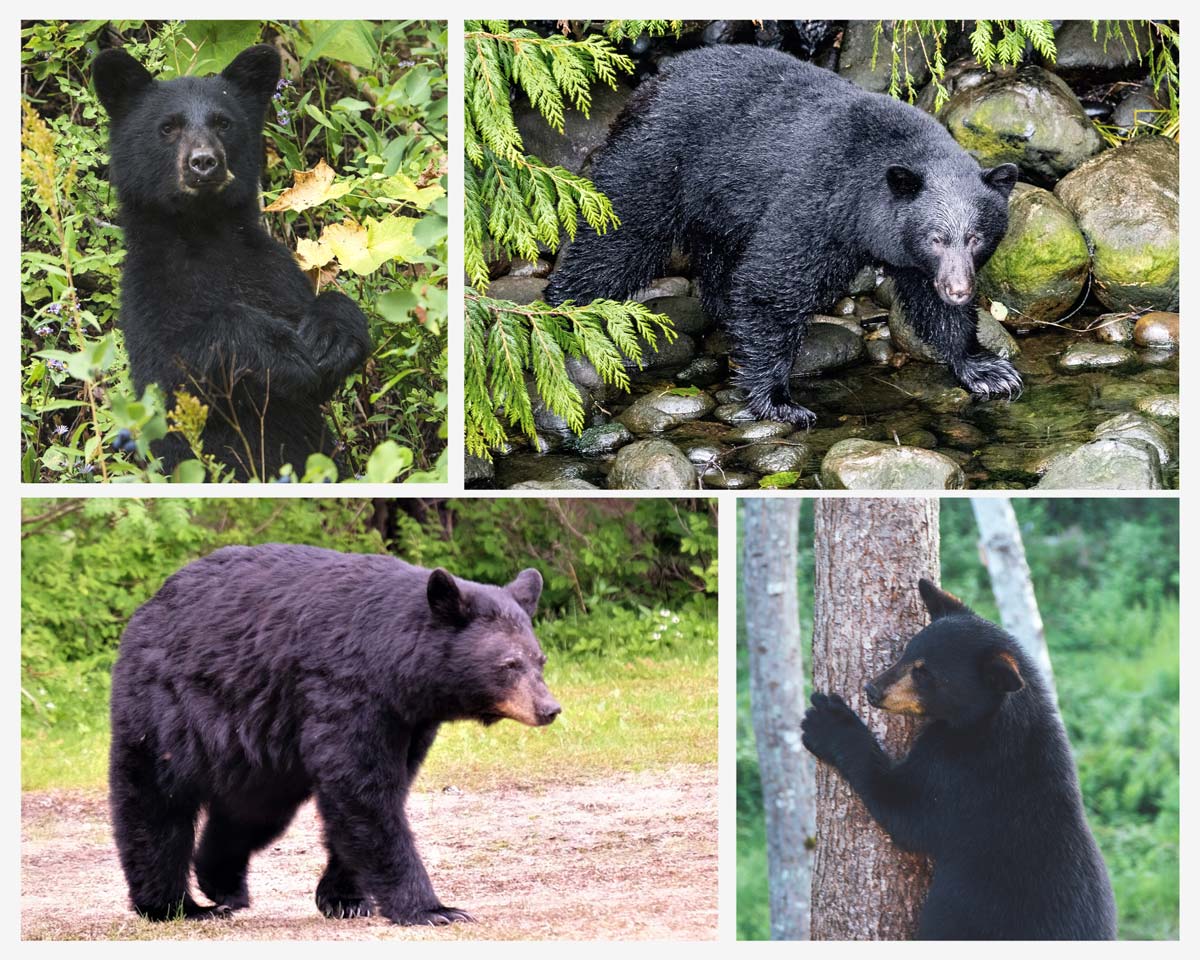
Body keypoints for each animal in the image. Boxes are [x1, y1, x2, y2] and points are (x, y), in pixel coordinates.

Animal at [94, 45, 369, 480]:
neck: (205, 235)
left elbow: (320, 349)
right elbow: (174, 368)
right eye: (167, 127)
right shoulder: (148, 293)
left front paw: (330, 337)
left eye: (223, 122)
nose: (204, 162)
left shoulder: (273, 270)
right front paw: (278, 350)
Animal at [108, 544, 556, 926]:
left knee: (251, 812)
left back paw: (223, 884)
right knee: (155, 802)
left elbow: (376, 793)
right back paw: (172, 904)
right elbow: (362, 790)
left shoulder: (408, 721)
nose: (549, 709)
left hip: (263, 751)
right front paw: (433, 909)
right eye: (509, 664)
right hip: (167, 709)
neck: (394, 667)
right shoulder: (346, 691)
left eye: (540, 659)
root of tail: (149, 606)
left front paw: (344, 899)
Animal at [544, 46, 1022, 424]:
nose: (960, 289)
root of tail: (651, 83)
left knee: (717, 258)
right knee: (619, 241)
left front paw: (986, 369)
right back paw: (565, 311)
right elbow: (772, 284)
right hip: (657, 164)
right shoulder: (817, 203)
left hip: (718, 202)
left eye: (976, 237)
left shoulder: (912, 258)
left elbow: (931, 304)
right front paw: (778, 400)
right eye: (937, 237)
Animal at [801, 578, 1118, 936]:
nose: (872, 689)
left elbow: (905, 808)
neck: (988, 722)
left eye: (926, 673)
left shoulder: (965, 778)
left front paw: (827, 722)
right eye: (906, 653)